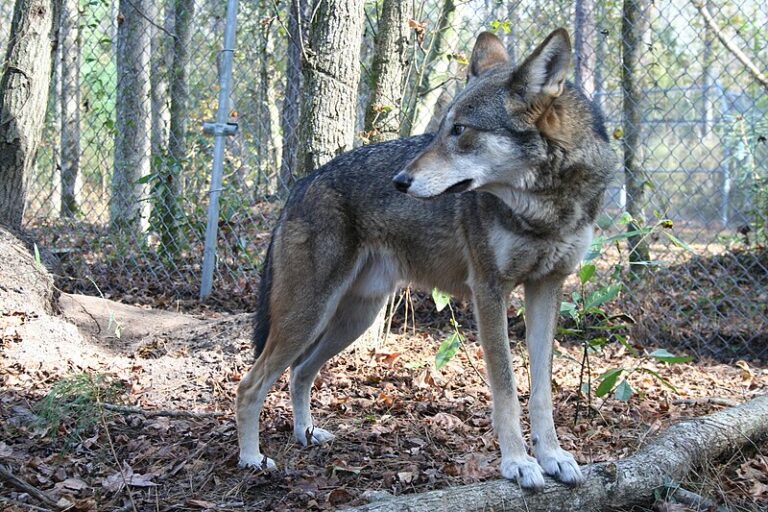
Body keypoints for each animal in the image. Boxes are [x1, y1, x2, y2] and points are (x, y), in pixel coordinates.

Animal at [236, 28, 616, 489]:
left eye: (460, 130)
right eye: (439, 131)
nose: (399, 181)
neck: (545, 208)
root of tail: (300, 185)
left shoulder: (547, 288)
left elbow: (541, 392)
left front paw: (553, 457)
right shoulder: (489, 292)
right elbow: (506, 390)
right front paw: (517, 463)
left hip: (353, 319)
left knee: (299, 372)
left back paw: (306, 434)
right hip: (308, 315)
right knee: (250, 384)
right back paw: (252, 459)